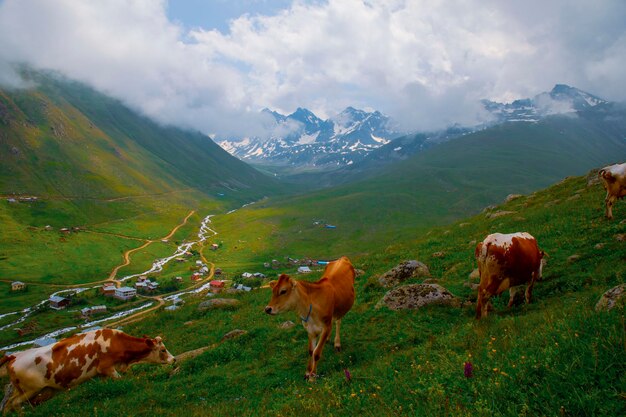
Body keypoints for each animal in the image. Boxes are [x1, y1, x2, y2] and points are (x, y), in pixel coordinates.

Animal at [1, 328, 176, 412]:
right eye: (163, 350)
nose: (174, 359)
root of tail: (14, 356)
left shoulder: (102, 373)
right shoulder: (106, 367)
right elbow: (121, 380)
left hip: (38, 390)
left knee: (9, 404)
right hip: (30, 390)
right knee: (12, 404)